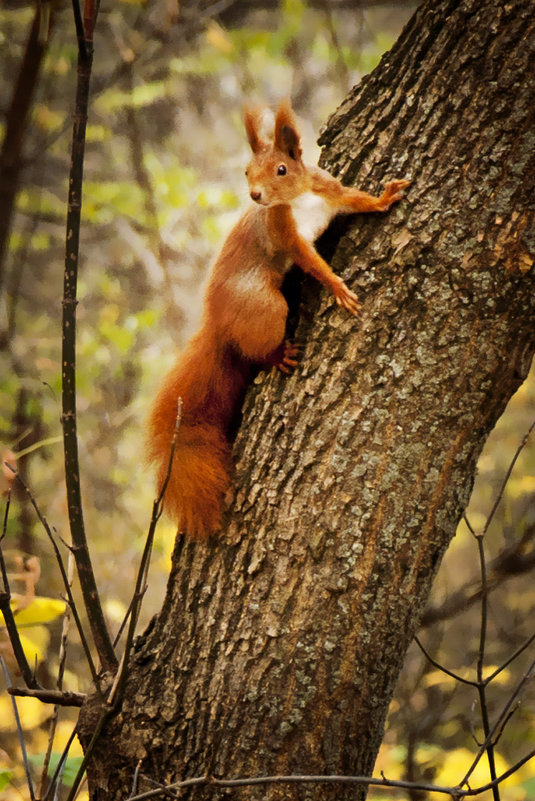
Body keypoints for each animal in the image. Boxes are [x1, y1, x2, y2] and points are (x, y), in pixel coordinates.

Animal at [149, 100, 408, 536]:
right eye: (246, 172)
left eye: (282, 170)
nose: (255, 195)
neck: (301, 198)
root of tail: (218, 324)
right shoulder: (285, 234)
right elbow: (313, 263)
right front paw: (337, 287)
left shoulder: (330, 190)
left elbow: (356, 199)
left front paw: (383, 198)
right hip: (266, 307)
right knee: (257, 346)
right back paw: (276, 356)